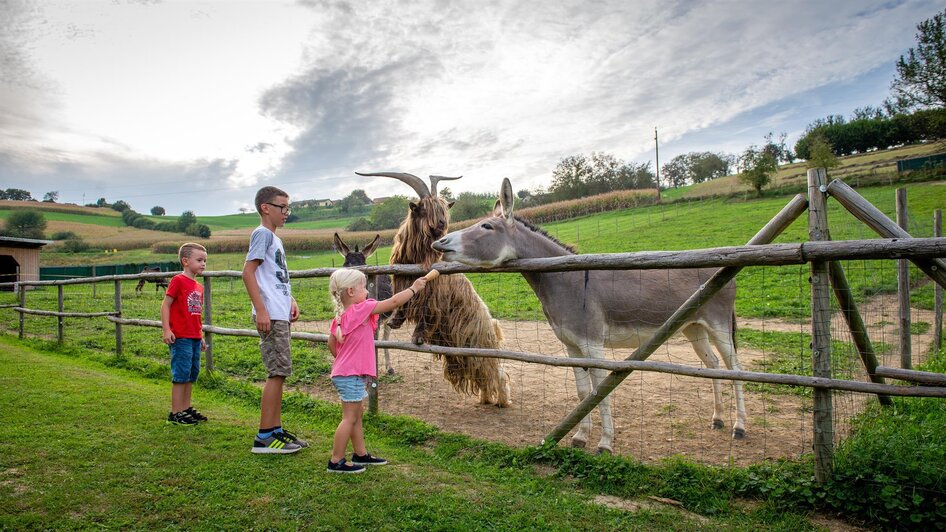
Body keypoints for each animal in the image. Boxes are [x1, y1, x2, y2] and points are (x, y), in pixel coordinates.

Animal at [354, 171, 512, 408]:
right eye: (423, 208)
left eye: (444, 209)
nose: (442, 223)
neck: (418, 258)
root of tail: (492, 326)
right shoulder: (401, 281)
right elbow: (403, 303)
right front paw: (395, 321)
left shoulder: (435, 295)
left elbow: (428, 313)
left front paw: (418, 337)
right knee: (484, 374)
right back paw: (485, 398)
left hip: (477, 345)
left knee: (496, 371)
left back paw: (502, 401)